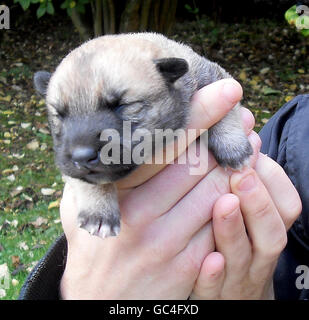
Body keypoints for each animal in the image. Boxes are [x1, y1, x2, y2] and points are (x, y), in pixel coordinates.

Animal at [33, 32, 250, 239]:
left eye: (123, 105)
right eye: (59, 115)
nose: (82, 157)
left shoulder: (213, 75)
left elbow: (227, 108)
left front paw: (232, 147)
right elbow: (85, 180)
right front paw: (99, 209)